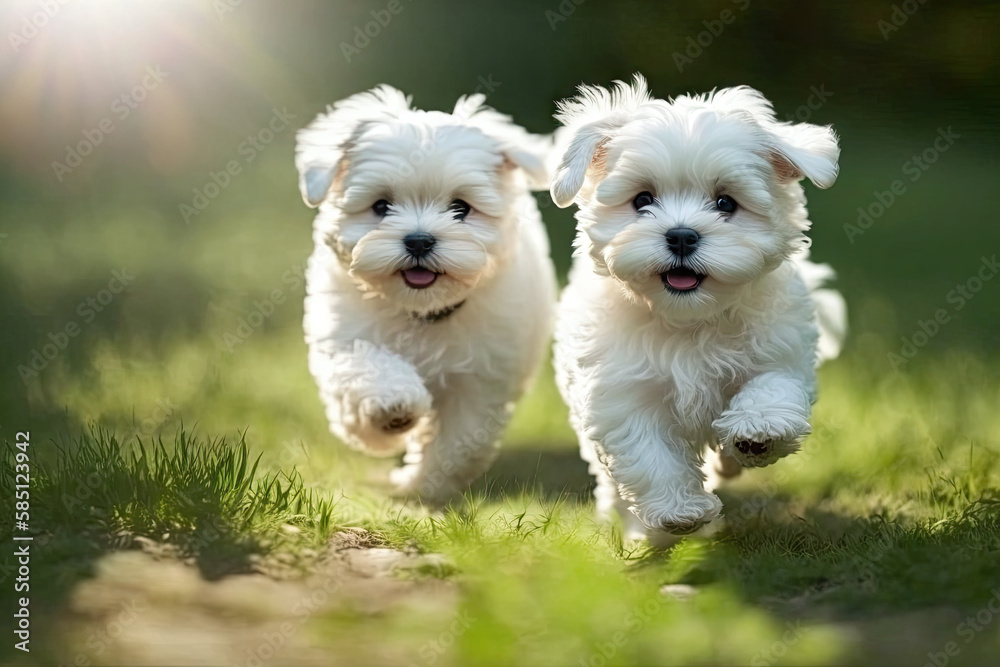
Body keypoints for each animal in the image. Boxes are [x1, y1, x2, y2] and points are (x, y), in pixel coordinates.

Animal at [296, 87, 560, 506]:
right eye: (381, 206)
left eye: (460, 208)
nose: (419, 240)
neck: (422, 310)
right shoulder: (343, 337)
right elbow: (364, 371)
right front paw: (392, 410)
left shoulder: (480, 378)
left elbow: (459, 442)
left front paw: (423, 486)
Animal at [552, 75, 848, 544]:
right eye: (642, 200)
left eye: (726, 203)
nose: (681, 235)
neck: (690, 320)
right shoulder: (621, 390)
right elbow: (649, 451)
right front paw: (680, 512)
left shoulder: (781, 349)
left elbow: (772, 383)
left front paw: (759, 428)